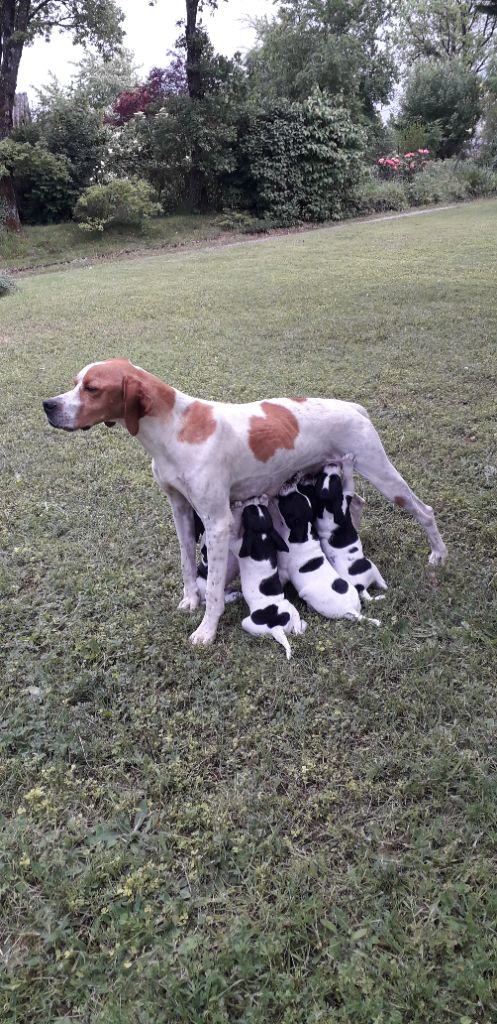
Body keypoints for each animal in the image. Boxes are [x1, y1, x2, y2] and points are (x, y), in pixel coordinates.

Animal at [229, 497, 305, 659]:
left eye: (248, 513)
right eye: (261, 510)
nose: (255, 503)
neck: (262, 533)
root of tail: (276, 627)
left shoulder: (237, 546)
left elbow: (232, 537)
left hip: (246, 623)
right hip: (289, 606)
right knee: (296, 625)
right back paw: (299, 628)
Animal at [270, 483, 379, 626]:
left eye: (288, 500)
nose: (289, 483)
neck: (304, 530)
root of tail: (350, 609)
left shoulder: (283, 571)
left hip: (309, 595)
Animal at [313, 454, 387, 598]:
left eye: (322, 476)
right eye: (336, 480)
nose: (331, 463)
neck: (325, 507)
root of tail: (360, 588)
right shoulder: (346, 494)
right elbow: (348, 479)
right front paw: (347, 461)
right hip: (372, 567)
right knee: (381, 583)